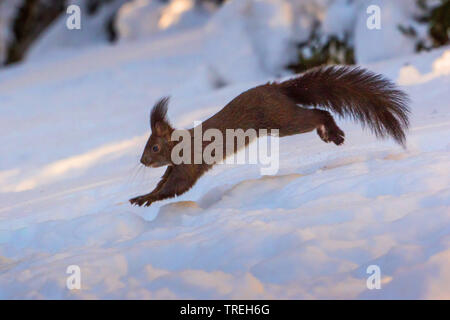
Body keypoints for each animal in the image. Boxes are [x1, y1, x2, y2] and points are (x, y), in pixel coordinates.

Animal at [128, 67, 410, 208]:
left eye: (154, 147)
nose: (141, 161)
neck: (180, 145)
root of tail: (278, 89)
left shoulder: (189, 163)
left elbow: (177, 187)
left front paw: (144, 199)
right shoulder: (174, 167)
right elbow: (163, 183)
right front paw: (144, 195)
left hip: (282, 121)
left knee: (317, 114)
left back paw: (330, 130)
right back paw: (329, 134)